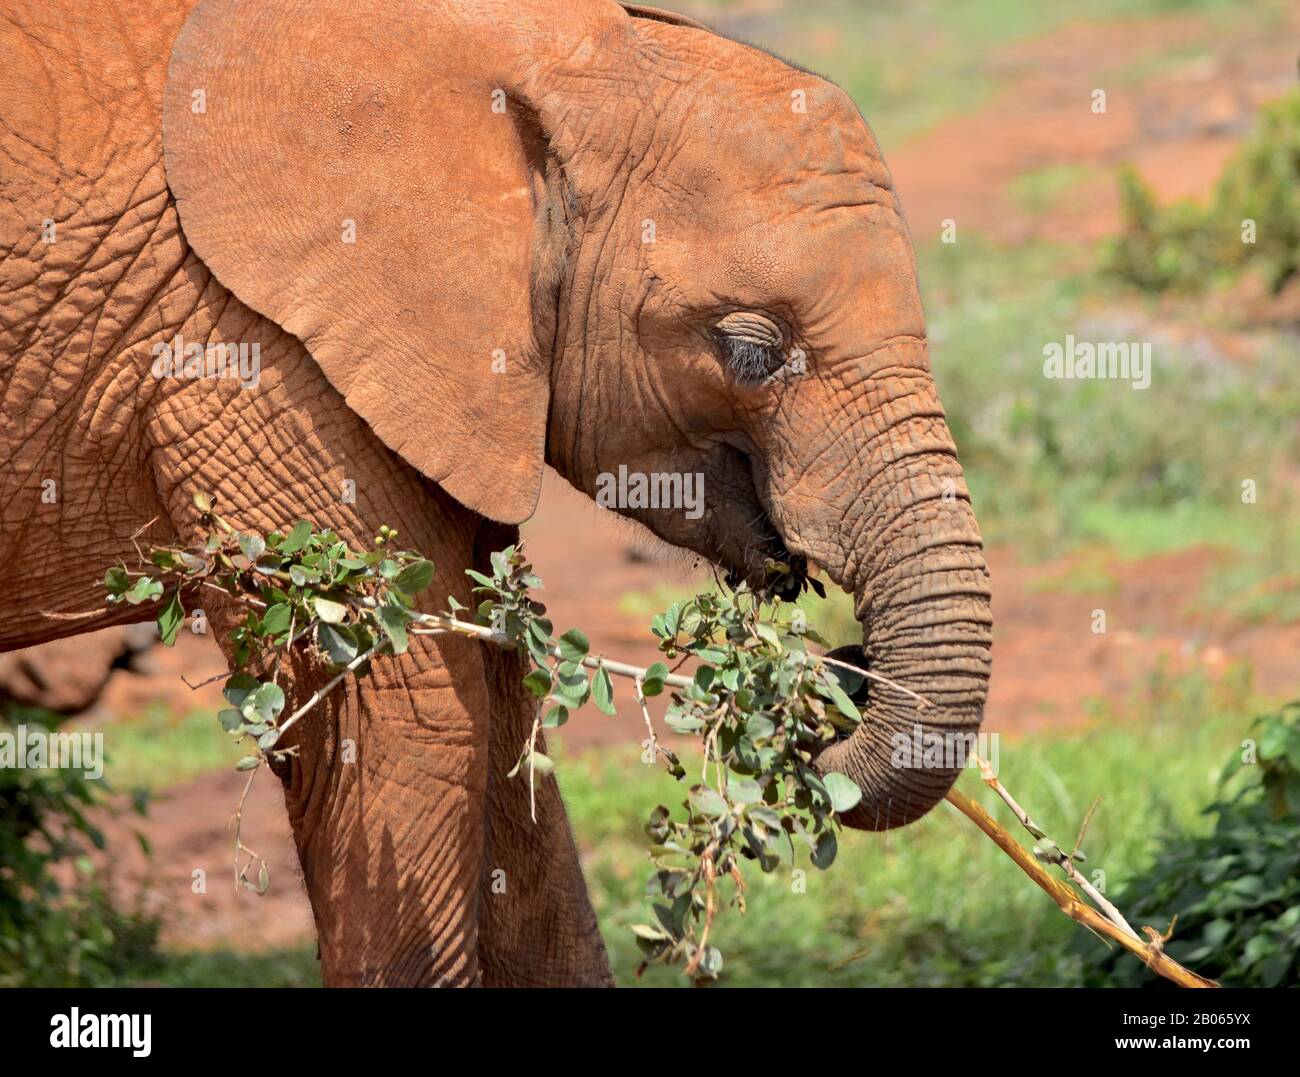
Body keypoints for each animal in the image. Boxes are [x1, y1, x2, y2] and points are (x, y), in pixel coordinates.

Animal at [2, 0, 993, 983]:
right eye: (749, 348)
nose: (842, 671)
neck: (547, 51)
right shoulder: (246, 346)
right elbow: (406, 715)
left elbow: (504, 711)